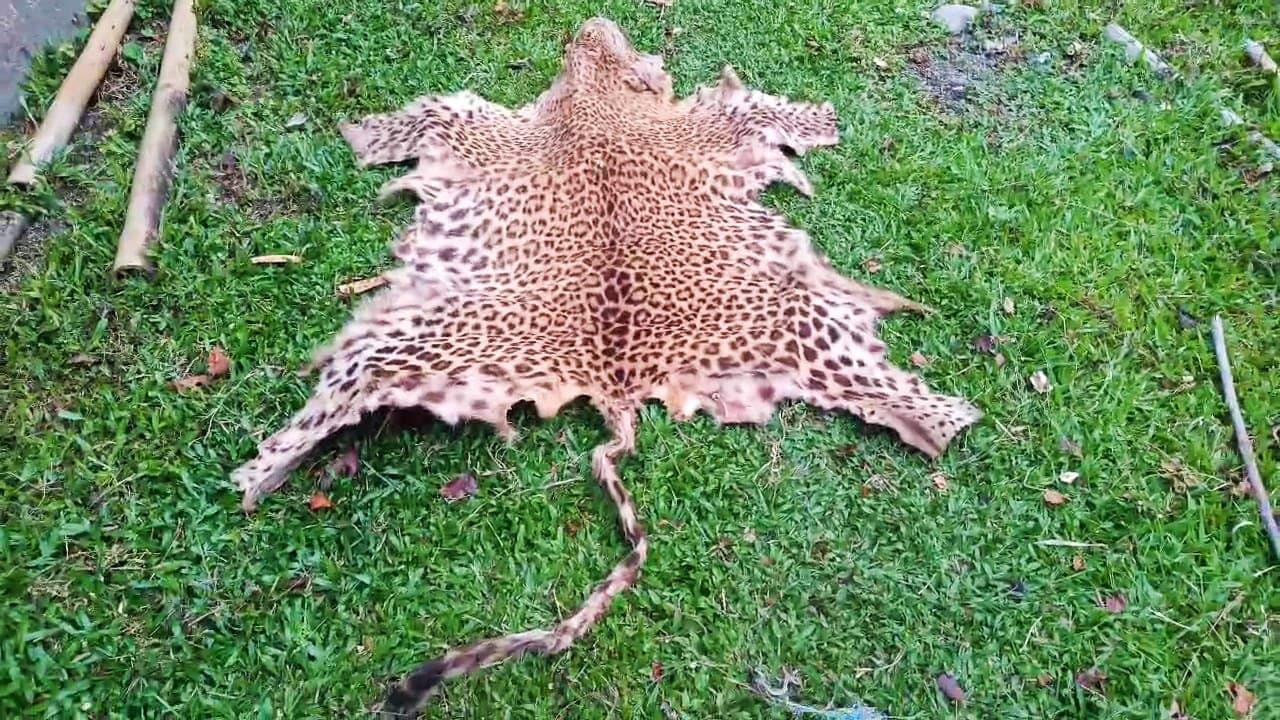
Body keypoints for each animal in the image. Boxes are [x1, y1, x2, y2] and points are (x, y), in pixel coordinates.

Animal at [229, 17, 981, 716]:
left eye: (616, 50)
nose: (593, 24)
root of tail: (616, 386)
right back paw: (264, 472)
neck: (594, 101)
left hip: (799, 317)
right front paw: (364, 131)